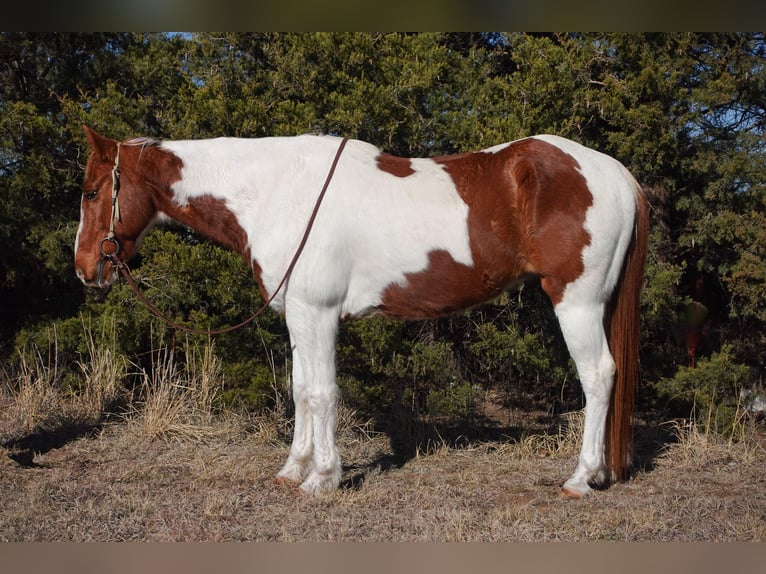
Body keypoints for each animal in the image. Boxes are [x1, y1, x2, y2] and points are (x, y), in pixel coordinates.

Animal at [75, 126, 649, 498]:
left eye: (91, 190)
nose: (84, 269)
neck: (278, 191)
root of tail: (616, 173)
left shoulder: (319, 314)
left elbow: (323, 393)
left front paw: (322, 479)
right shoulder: (298, 315)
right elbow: (300, 390)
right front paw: (293, 469)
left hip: (577, 302)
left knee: (600, 376)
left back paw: (581, 478)